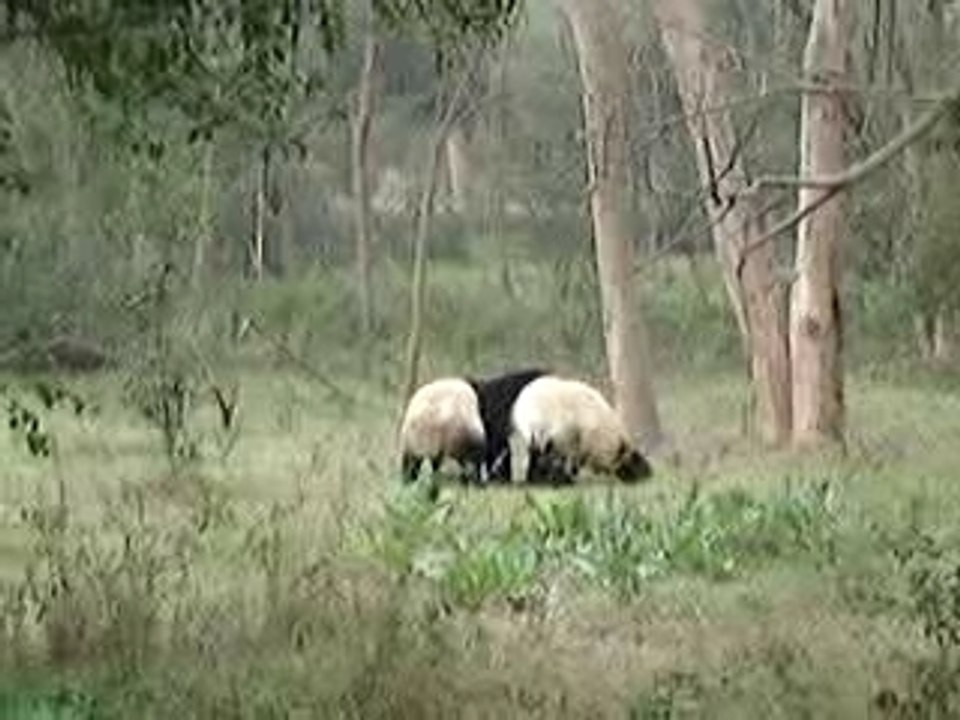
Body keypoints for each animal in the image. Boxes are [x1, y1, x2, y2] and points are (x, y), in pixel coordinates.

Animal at [511, 375, 653, 485]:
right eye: (635, 460)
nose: (649, 474)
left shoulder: (577, 440)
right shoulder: (579, 437)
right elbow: (572, 459)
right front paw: (568, 477)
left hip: (533, 432)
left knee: (536, 453)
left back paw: (535, 478)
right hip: (551, 431)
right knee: (548, 456)